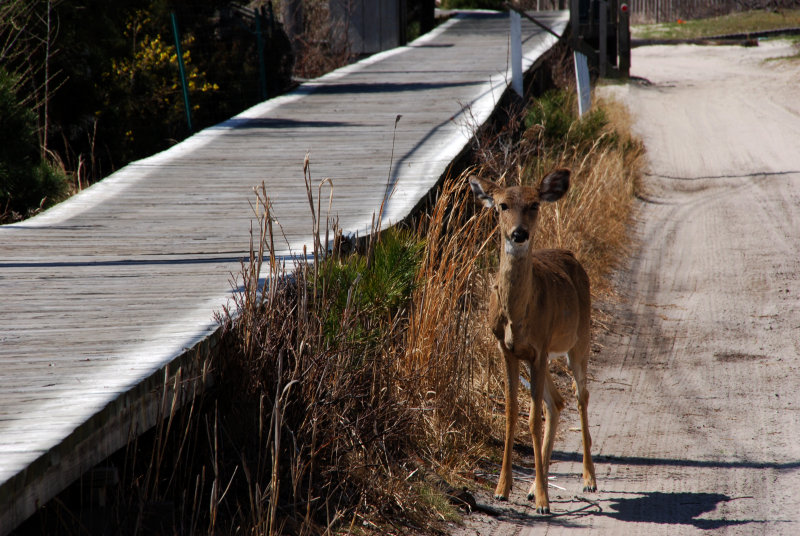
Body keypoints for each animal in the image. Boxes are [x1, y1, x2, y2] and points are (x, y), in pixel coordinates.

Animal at [468, 170, 592, 516]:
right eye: (502, 205)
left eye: (534, 204)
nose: (519, 233)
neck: (518, 318)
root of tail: (570, 255)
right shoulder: (508, 350)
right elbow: (512, 413)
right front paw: (502, 489)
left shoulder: (539, 349)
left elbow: (533, 419)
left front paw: (544, 502)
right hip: (547, 354)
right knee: (557, 401)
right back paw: (536, 486)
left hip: (579, 340)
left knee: (581, 395)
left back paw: (588, 479)